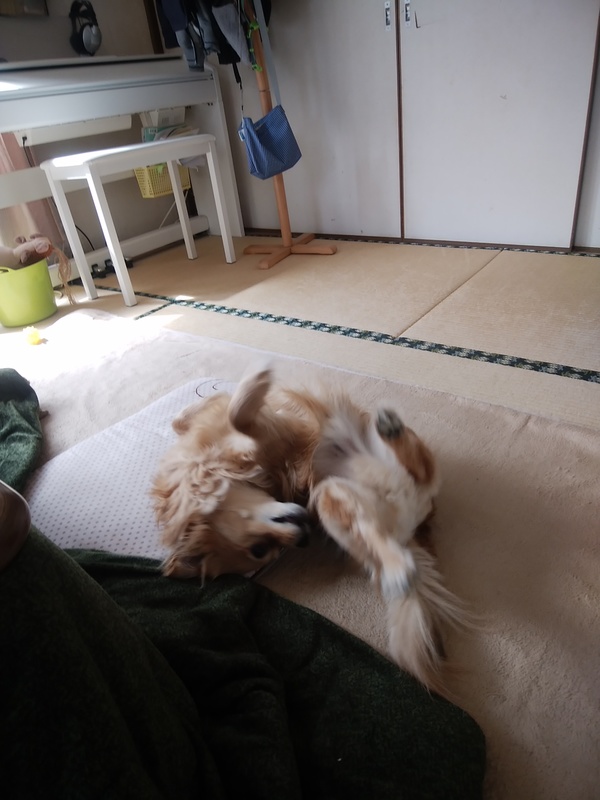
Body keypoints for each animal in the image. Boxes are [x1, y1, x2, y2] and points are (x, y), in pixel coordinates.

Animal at [151, 365, 467, 693]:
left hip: (371, 462)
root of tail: (417, 525)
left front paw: (250, 386)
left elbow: (214, 415)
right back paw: (397, 572)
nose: (303, 539)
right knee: (386, 523)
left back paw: (389, 428)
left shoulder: (255, 434)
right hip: (331, 497)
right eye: (262, 550)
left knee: (422, 468)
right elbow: (232, 418)